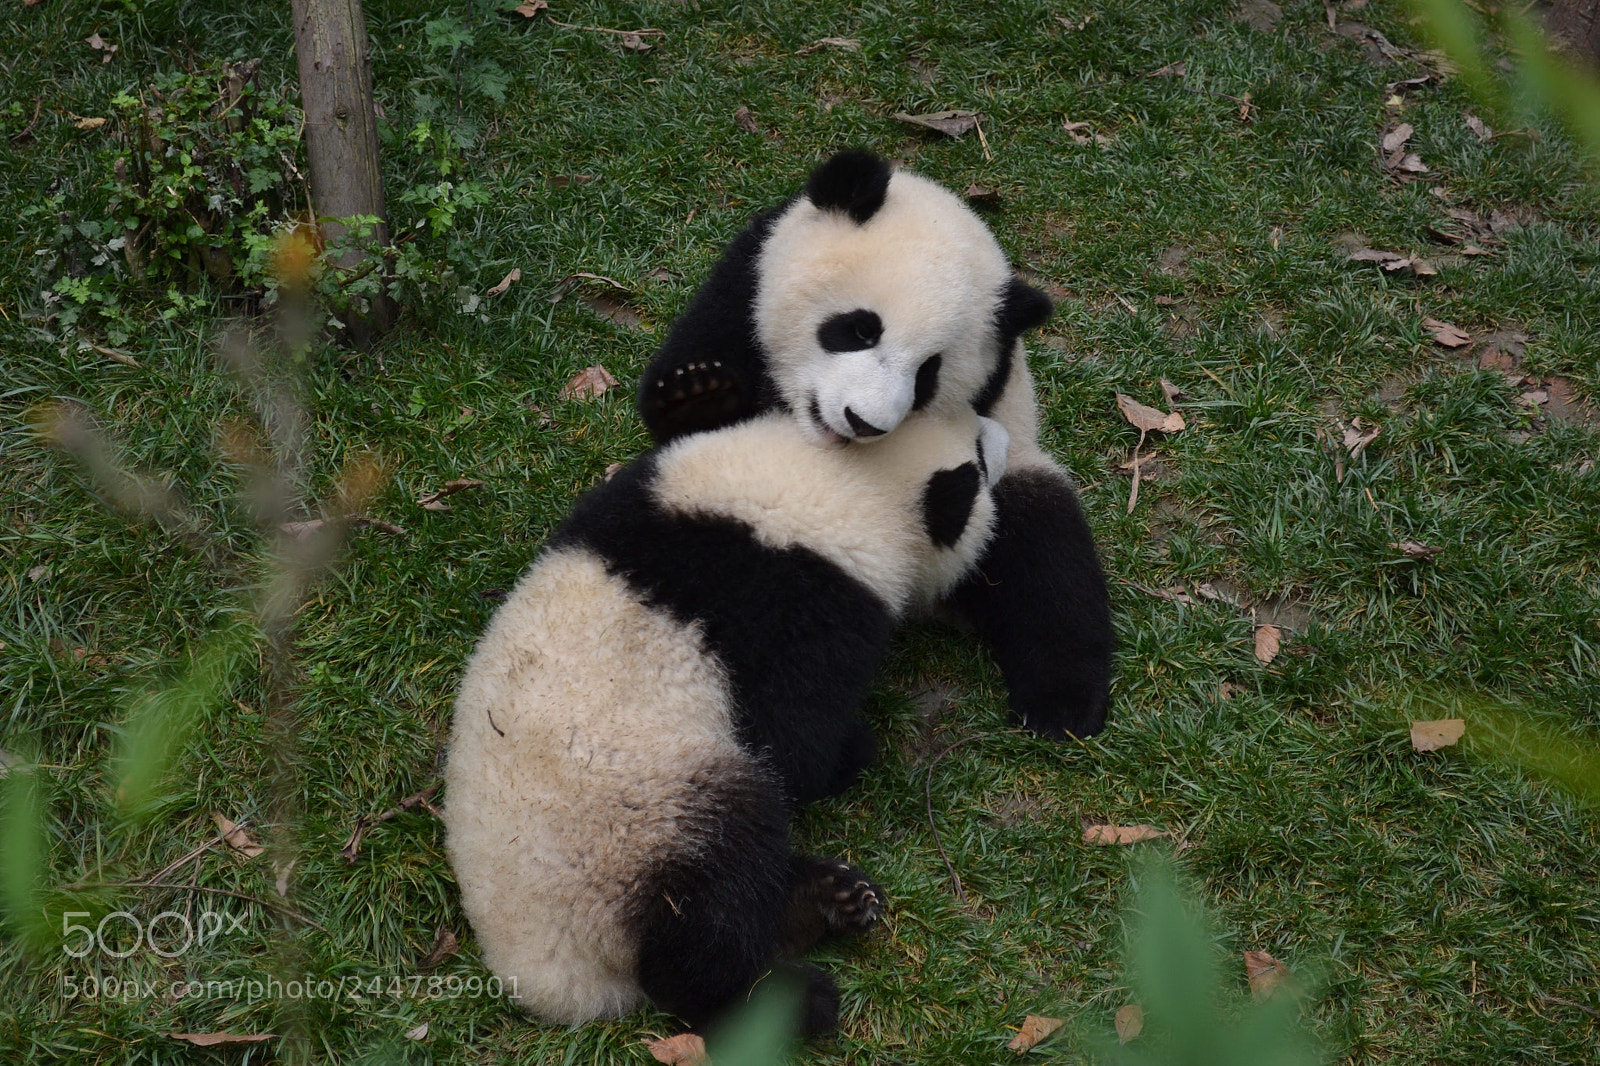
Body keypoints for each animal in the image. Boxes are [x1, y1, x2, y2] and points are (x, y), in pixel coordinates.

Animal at [443, 405, 1007, 1036]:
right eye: (979, 462)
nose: (1001, 436)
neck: (833, 483)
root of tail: (550, 973)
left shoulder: (643, 492)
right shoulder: (804, 612)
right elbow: (796, 747)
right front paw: (855, 750)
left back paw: (832, 897)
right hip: (645, 822)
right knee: (714, 909)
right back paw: (788, 995)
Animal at [639, 150, 1113, 740]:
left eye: (928, 373)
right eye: (860, 329)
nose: (863, 422)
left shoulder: (996, 393)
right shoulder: (742, 288)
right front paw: (698, 396)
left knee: (1047, 559)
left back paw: (1063, 703)